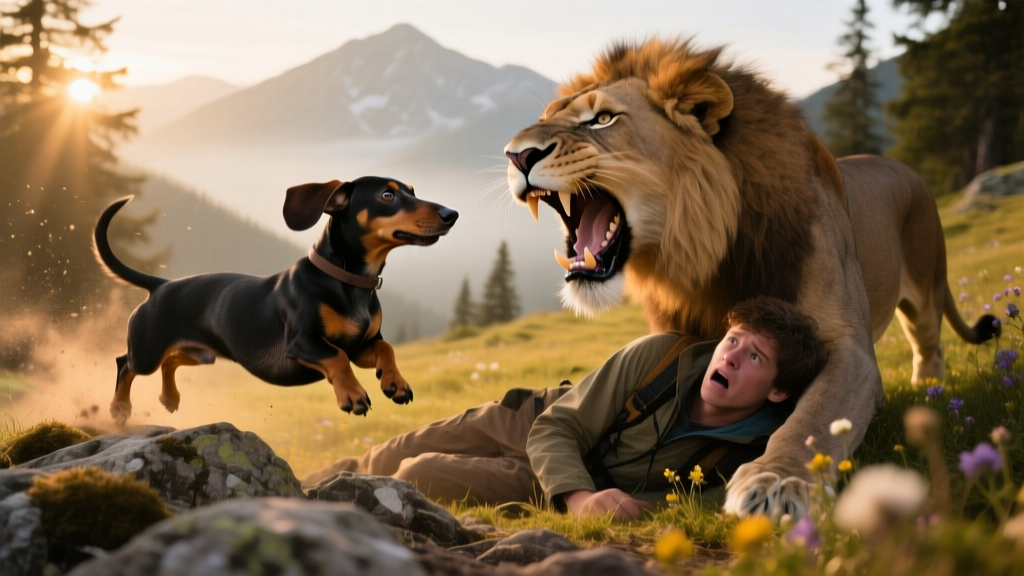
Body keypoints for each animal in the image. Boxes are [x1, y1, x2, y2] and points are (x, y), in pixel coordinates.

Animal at [503, 39, 999, 521]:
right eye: (545, 119)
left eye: (602, 119)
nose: (517, 154)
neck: (701, 256)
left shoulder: (849, 348)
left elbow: (812, 421)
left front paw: (776, 482)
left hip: (926, 290)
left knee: (929, 347)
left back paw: (929, 399)